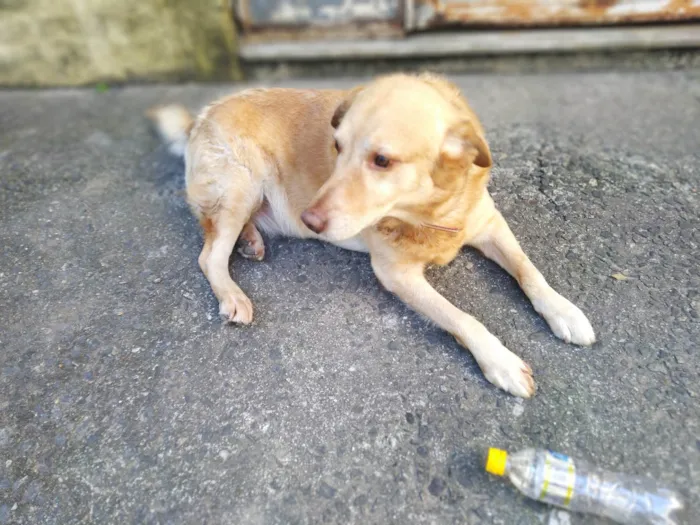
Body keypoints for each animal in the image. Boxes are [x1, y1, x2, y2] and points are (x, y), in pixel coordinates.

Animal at [149, 71, 596, 396]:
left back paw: (251, 240)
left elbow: (528, 270)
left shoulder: (491, 225)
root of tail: (200, 117)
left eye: (382, 160)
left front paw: (564, 310)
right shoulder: (396, 273)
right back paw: (233, 294)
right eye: (337, 147)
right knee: (209, 255)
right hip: (241, 187)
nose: (309, 219)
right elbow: (463, 318)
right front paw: (501, 362)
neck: (430, 213)